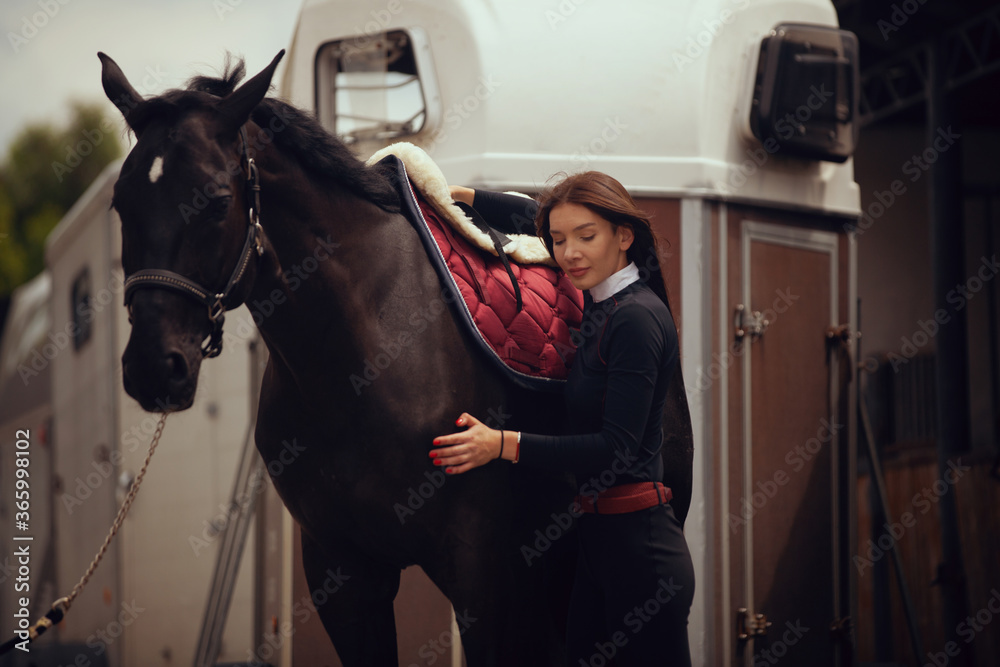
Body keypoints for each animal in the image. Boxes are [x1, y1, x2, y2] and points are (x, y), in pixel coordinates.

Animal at [101, 49, 696, 664]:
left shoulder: (484, 576)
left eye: (217, 201)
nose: (154, 366)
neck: (355, 365)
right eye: (122, 202)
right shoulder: (342, 574)